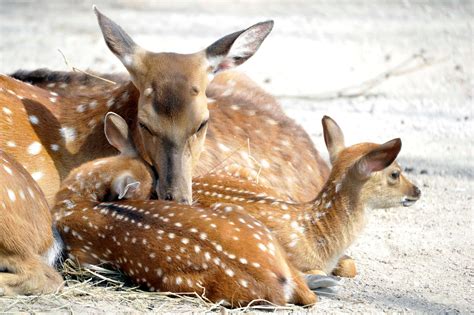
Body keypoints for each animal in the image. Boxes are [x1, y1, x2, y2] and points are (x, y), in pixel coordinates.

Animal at [52, 113, 318, 306]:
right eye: (153, 185)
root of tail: (279, 281)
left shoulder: (81, 252)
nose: (170, 199)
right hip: (241, 216)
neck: (72, 201)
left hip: (181, 284)